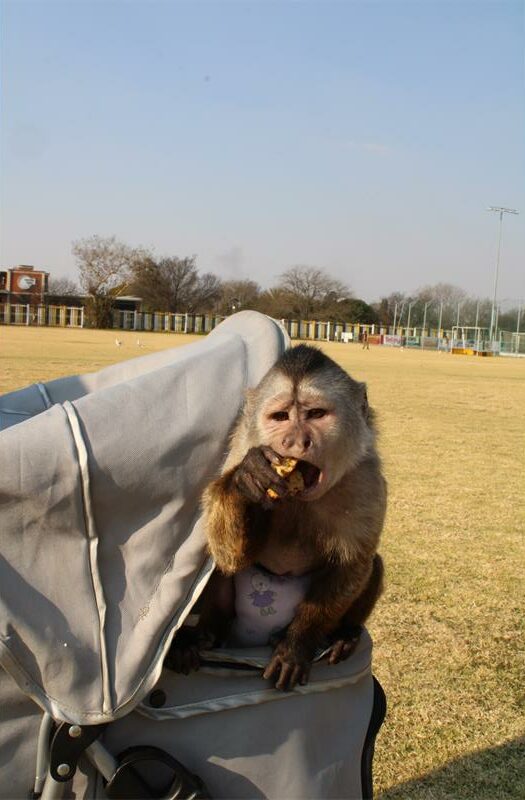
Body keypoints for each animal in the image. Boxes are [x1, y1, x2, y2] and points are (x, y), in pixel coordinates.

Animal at [169, 344, 386, 690]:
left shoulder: (365, 481)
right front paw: (246, 479)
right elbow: (230, 556)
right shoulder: (241, 446)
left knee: (372, 564)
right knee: (217, 567)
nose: (295, 442)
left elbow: (351, 563)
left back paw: (345, 636)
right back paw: (205, 636)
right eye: (281, 417)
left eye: (315, 414)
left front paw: (296, 644)